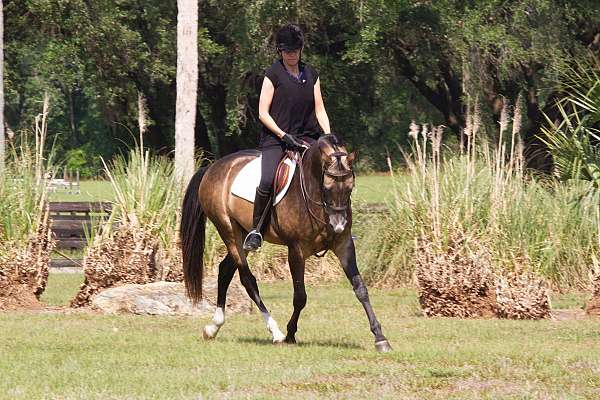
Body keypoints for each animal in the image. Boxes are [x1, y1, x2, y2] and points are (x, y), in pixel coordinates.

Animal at [180, 135, 392, 354]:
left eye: (350, 187)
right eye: (326, 188)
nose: (339, 225)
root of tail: (213, 167)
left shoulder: (344, 245)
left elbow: (360, 289)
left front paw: (380, 338)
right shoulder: (296, 250)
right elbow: (300, 296)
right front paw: (290, 334)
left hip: (242, 235)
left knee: (225, 270)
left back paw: (213, 327)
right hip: (229, 231)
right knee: (248, 280)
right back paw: (276, 332)